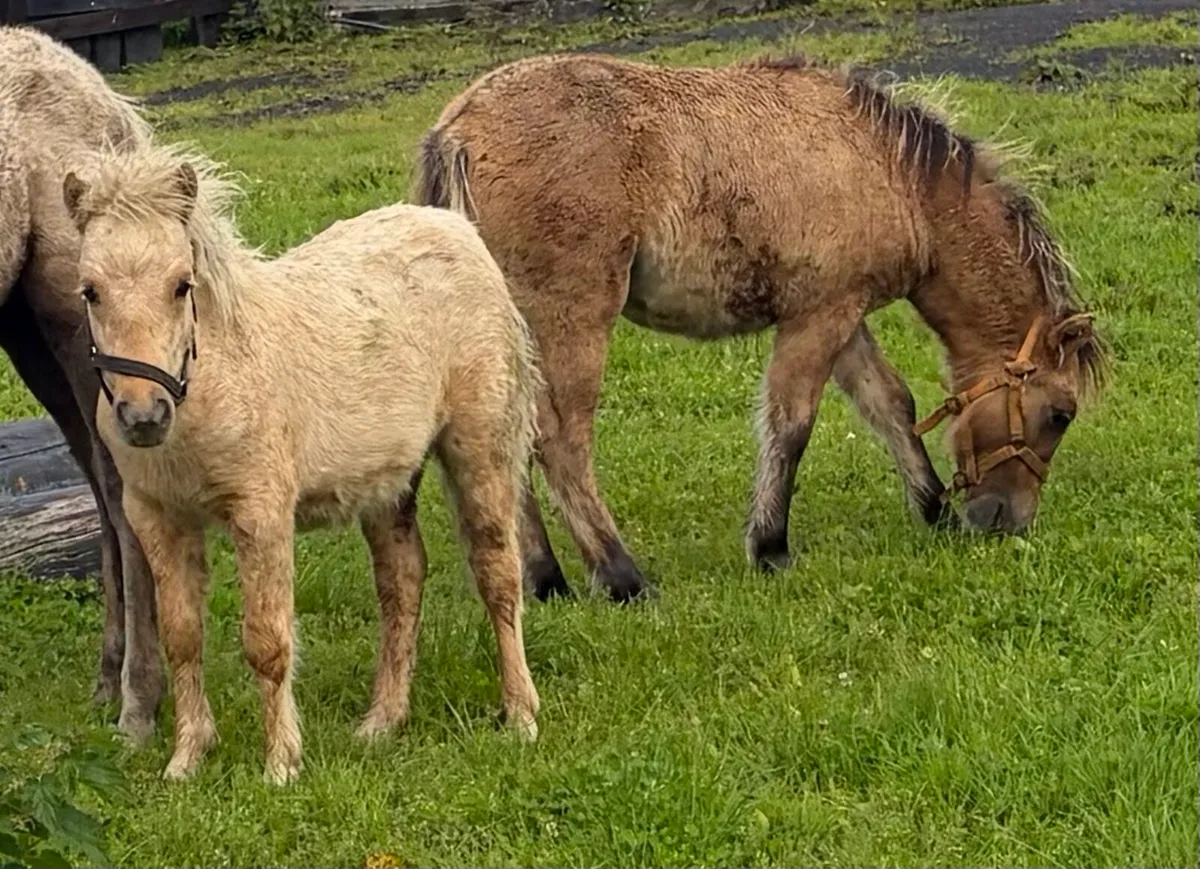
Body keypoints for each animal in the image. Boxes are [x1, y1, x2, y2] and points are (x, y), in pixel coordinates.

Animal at [62, 143, 543, 784]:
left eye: (181, 286)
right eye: (89, 291)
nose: (144, 416)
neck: (211, 383)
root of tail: (453, 224)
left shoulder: (260, 511)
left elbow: (267, 640)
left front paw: (281, 765)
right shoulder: (156, 516)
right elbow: (183, 635)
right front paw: (187, 759)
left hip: (480, 445)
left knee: (498, 574)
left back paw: (521, 715)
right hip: (385, 482)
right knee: (402, 579)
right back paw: (381, 721)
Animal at [413, 53, 1105, 604]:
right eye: (1059, 415)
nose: (1004, 522)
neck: (893, 174)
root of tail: (458, 132)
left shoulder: (840, 313)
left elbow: (891, 405)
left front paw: (931, 506)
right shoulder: (819, 318)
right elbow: (791, 424)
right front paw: (770, 545)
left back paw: (545, 577)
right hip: (573, 319)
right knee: (559, 439)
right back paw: (620, 575)